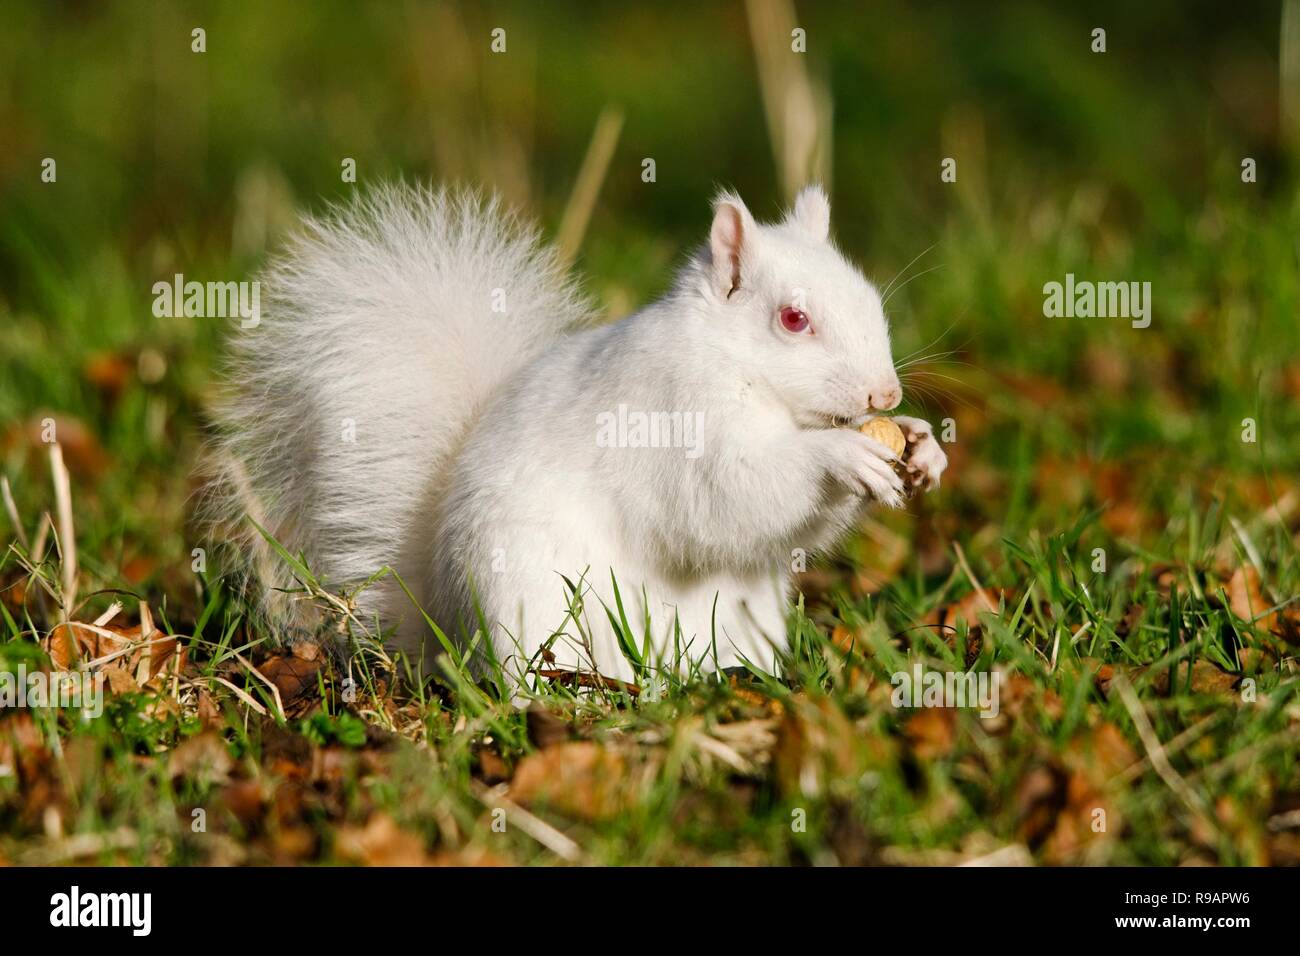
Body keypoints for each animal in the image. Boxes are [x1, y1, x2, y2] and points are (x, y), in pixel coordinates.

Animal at [206, 183, 948, 687]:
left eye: (870, 298)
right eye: (793, 319)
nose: (885, 395)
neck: (738, 367)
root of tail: (445, 627)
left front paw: (921, 443)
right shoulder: (672, 415)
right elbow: (730, 497)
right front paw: (843, 455)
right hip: (530, 603)